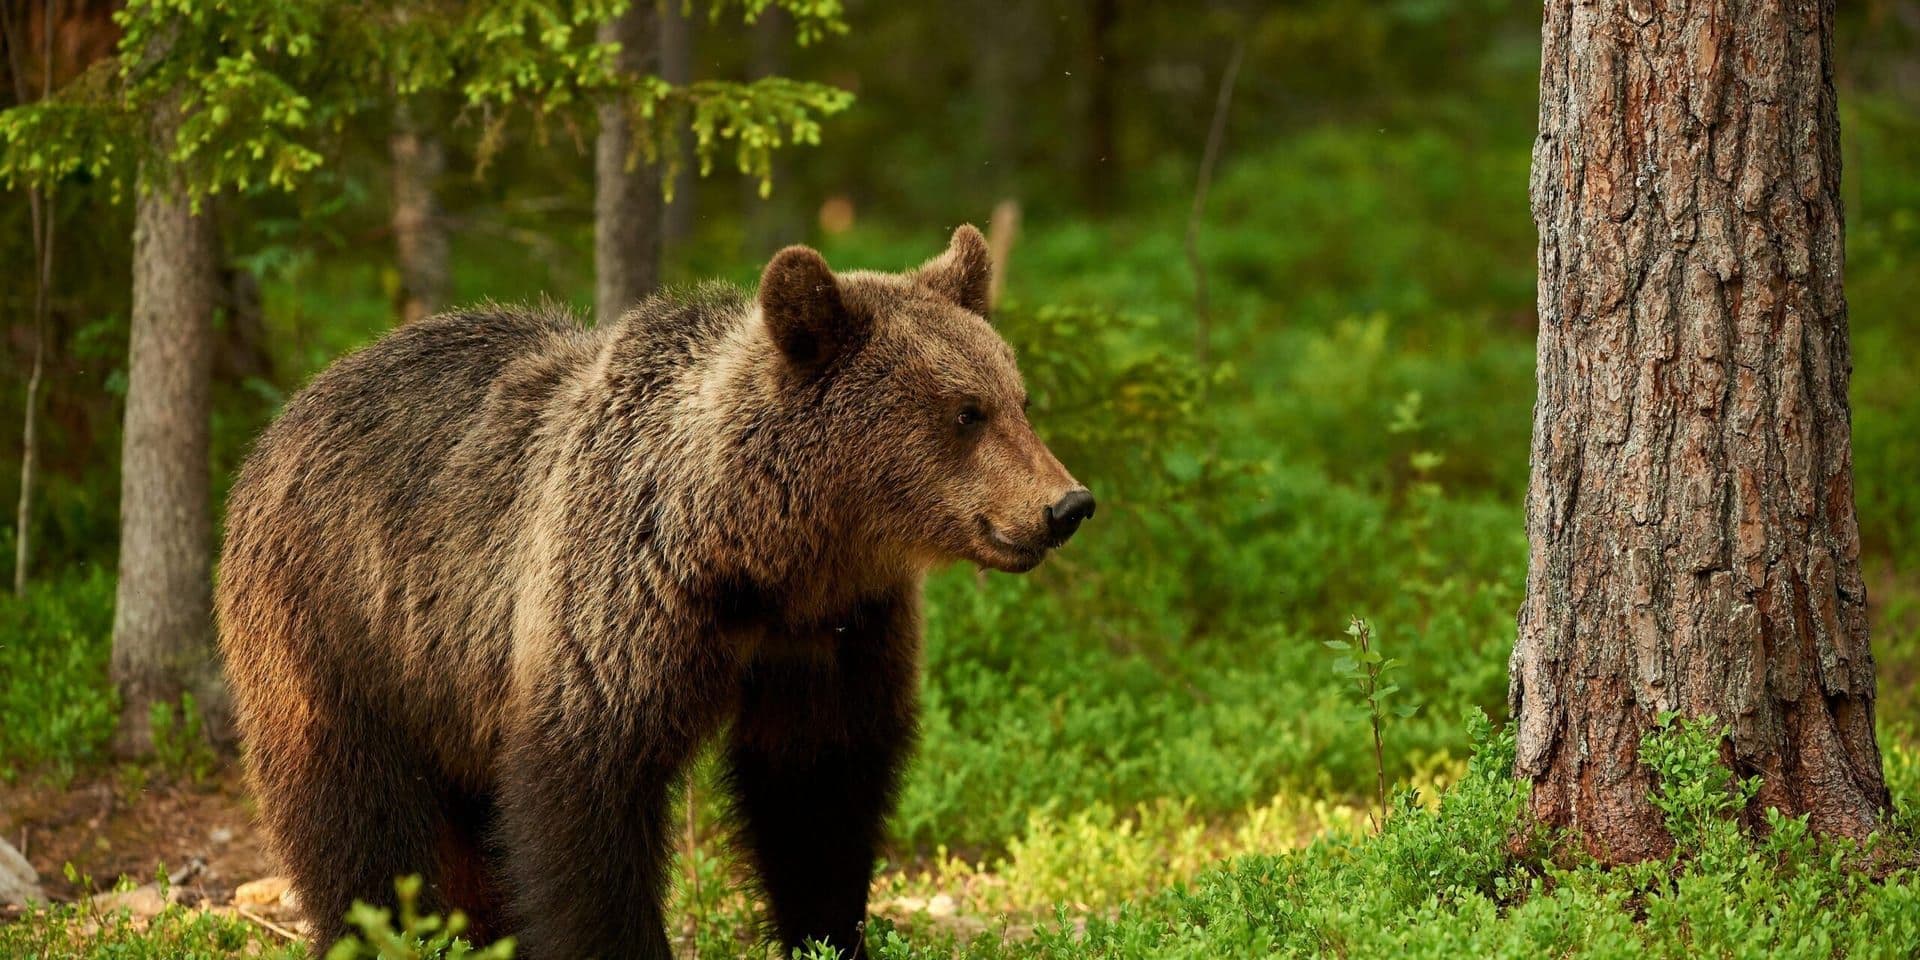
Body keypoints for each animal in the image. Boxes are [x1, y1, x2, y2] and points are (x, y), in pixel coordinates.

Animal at [215, 225, 1094, 960]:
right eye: (964, 412)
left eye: (1016, 398)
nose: (1066, 506)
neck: (761, 557)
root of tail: (292, 408)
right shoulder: (618, 606)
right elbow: (585, 801)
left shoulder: (833, 634)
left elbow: (819, 790)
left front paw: (829, 933)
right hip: (338, 624)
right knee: (353, 814)